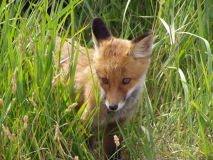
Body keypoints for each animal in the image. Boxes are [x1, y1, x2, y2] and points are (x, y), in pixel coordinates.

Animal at [54, 17, 154, 159]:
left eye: (126, 80)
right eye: (105, 80)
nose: (112, 106)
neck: (110, 116)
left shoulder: (115, 127)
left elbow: (113, 152)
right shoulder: (85, 122)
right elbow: (86, 150)